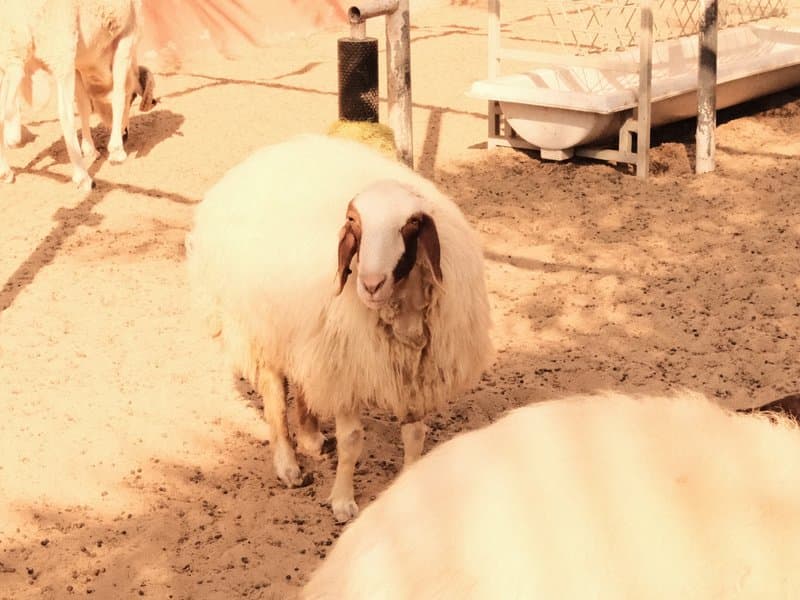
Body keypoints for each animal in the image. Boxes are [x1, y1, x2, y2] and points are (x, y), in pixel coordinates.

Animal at [0, 0, 156, 190]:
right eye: (133, 96)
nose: (125, 134)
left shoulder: (78, 65)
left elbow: (83, 106)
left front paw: (90, 150)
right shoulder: (126, 38)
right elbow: (118, 95)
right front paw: (117, 152)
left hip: (11, 55)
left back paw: (5, 171)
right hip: (59, 53)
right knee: (64, 115)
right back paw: (83, 177)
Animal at [186, 133, 493, 522]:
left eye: (410, 226)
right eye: (353, 222)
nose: (371, 284)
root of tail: (265, 156)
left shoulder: (412, 373)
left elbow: (415, 437)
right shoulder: (348, 369)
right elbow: (351, 441)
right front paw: (343, 501)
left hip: (306, 330)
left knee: (304, 382)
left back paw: (311, 437)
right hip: (260, 324)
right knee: (275, 397)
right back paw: (288, 465)